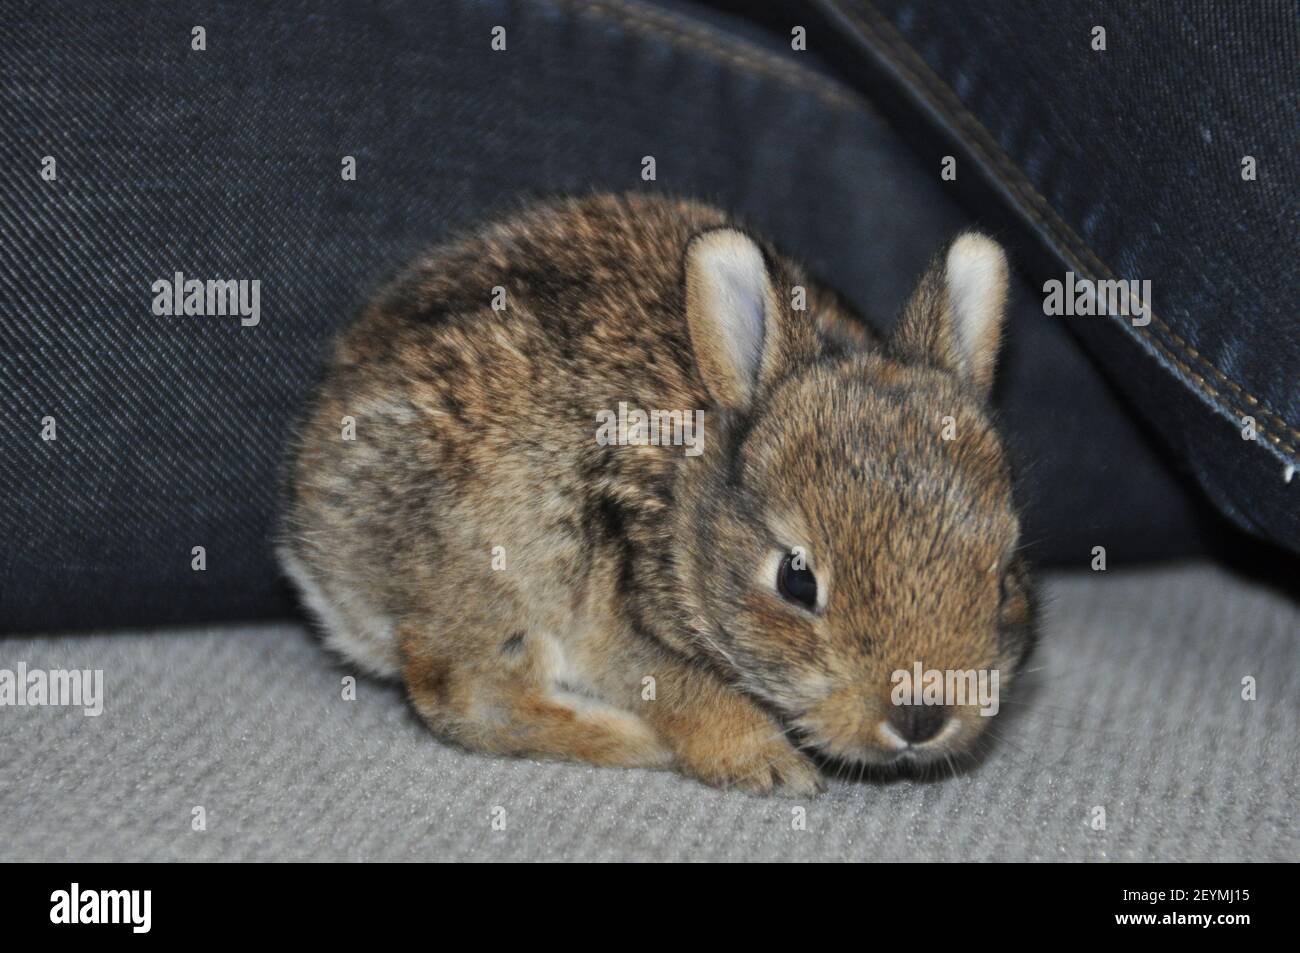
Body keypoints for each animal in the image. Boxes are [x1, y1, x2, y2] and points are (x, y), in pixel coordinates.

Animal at [282, 193, 1034, 795]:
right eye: (796, 580)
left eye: (1003, 577)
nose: (920, 716)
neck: (688, 501)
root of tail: (317, 549)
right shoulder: (622, 616)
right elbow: (693, 693)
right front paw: (770, 767)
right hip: (502, 561)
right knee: (464, 695)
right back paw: (632, 742)